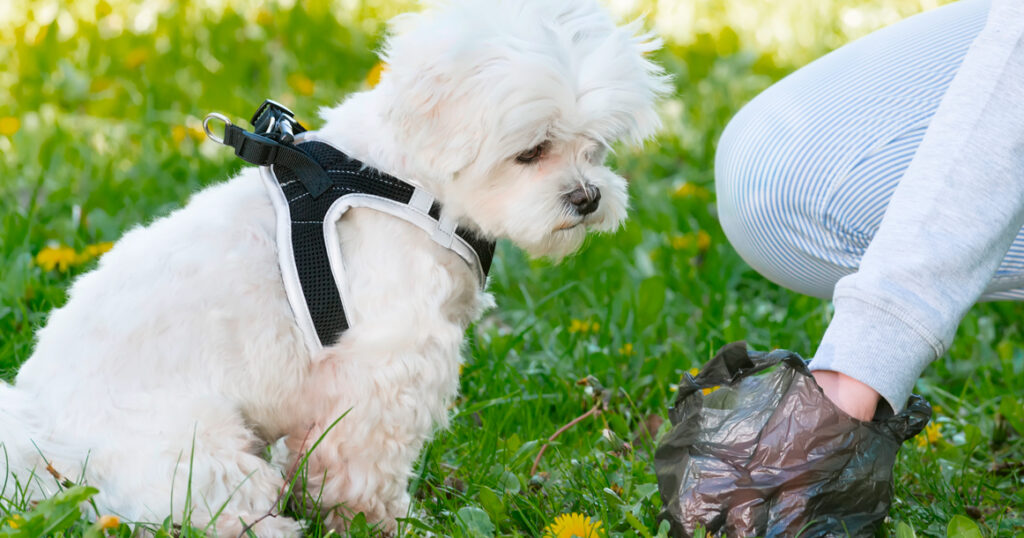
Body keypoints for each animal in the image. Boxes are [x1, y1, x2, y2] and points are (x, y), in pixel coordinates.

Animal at [0, 0, 667, 532]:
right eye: (531, 151)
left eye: (596, 147)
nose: (587, 197)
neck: (406, 181)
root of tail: (39, 438)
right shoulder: (384, 367)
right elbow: (361, 464)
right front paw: (380, 521)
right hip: (194, 450)